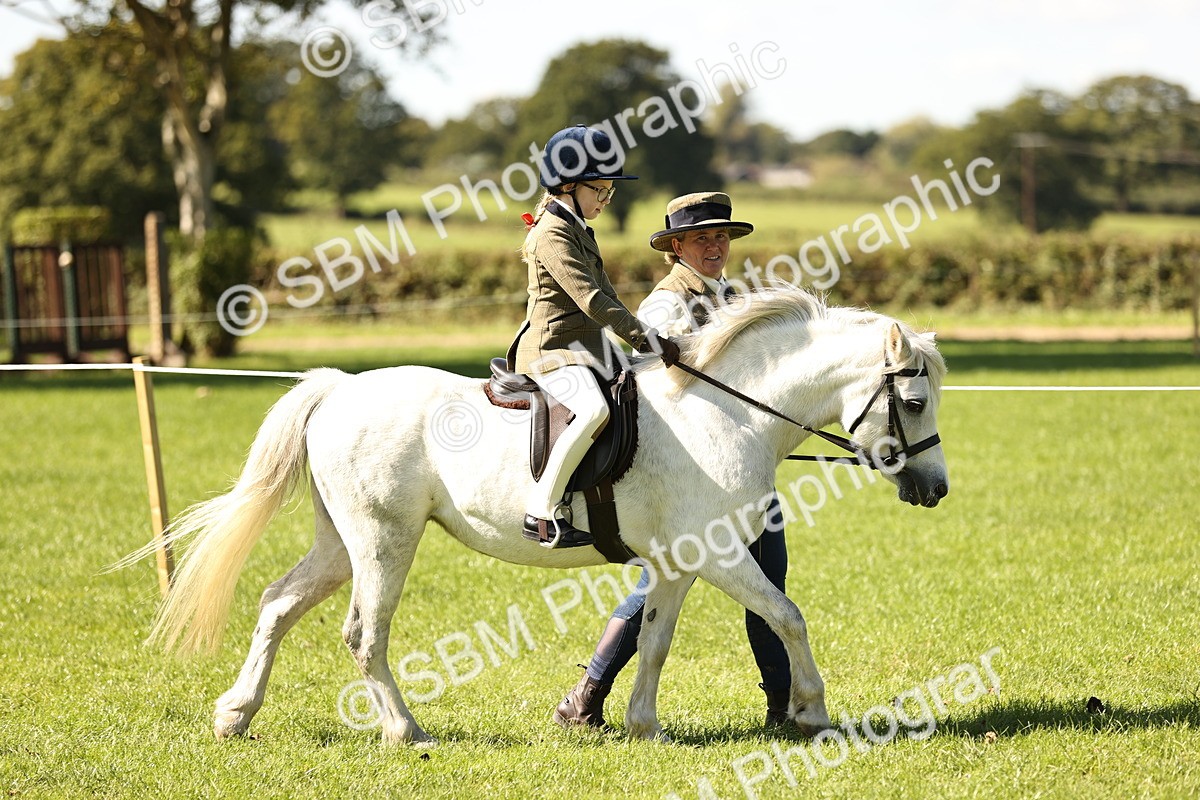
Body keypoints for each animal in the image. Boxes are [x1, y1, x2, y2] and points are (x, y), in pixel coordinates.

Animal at [124, 286, 948, 746]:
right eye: (913, 401)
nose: (936, 488)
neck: (726, 411)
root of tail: (338, 388)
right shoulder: (718, 555)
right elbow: (787, 616)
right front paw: (812, 711)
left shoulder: (679, 564)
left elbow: (654, 640)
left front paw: (642, 726)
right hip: (383, 542)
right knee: (363, 635)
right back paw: (405, 732)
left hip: (341, 544)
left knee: (275, 605)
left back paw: (235, 715)